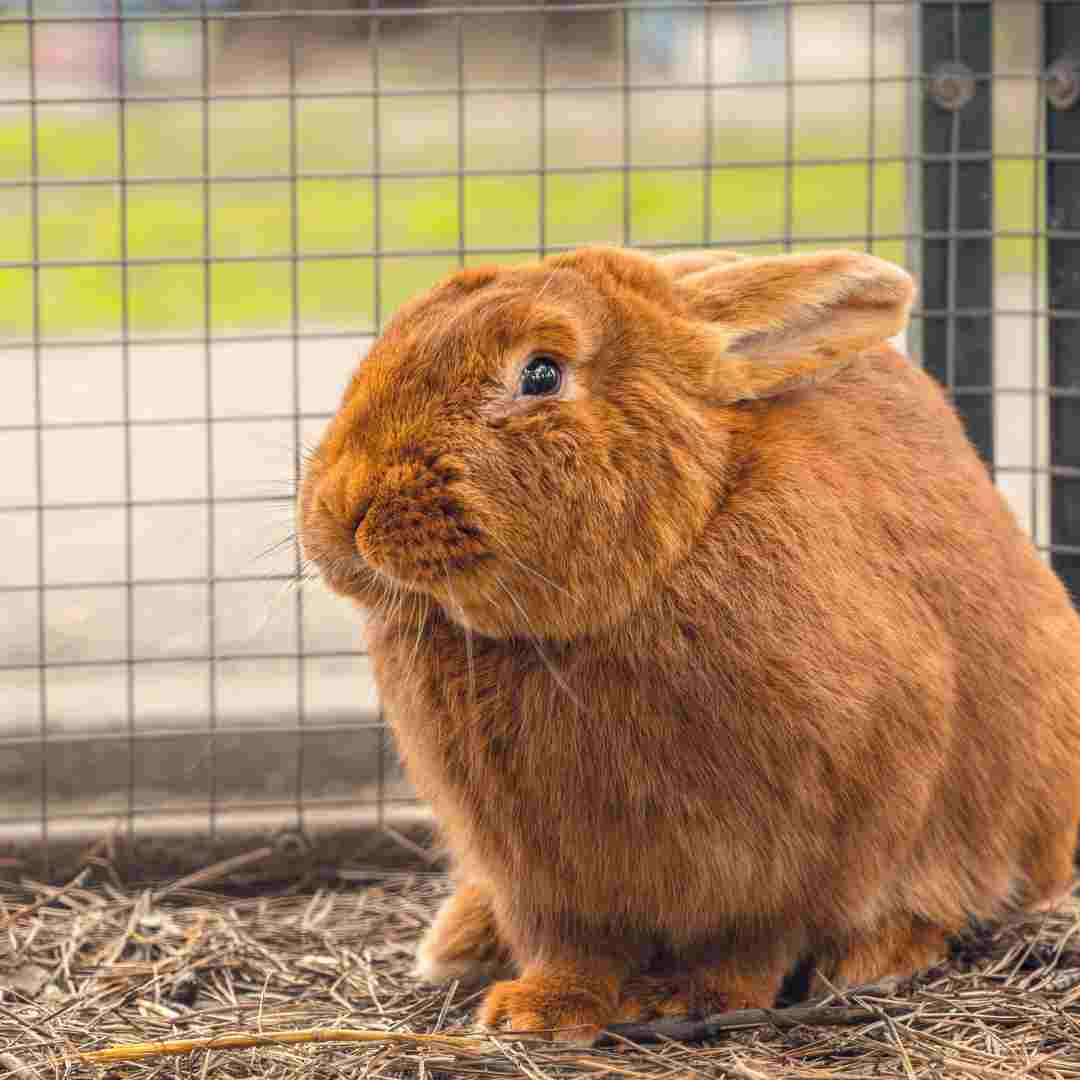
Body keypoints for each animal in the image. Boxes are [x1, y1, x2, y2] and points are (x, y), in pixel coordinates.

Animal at [295, 247, 1080, 1045]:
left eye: (541, 373)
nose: (344, 505)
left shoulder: (796, 855)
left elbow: (749, 944)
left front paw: (684, 1000)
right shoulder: (539, 871)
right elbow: (570, 947)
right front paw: (536, 1013)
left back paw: (875, 960)